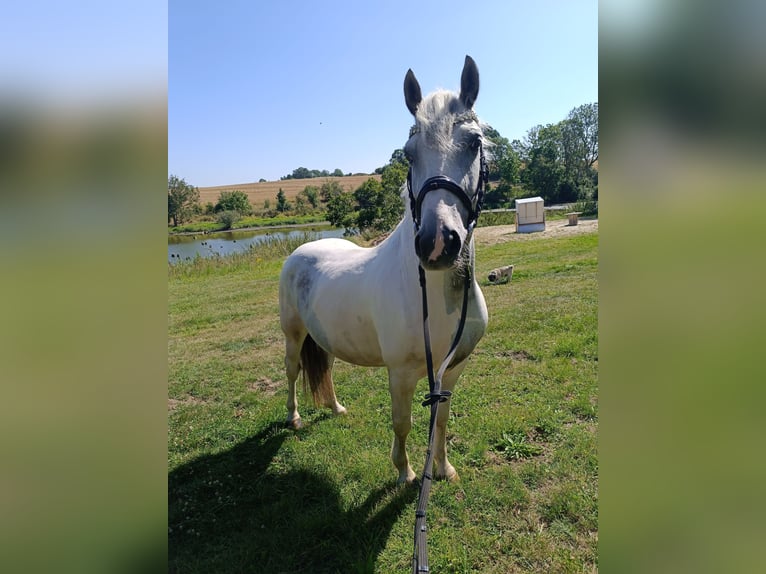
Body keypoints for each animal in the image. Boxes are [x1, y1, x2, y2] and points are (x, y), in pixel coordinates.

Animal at [279, 56, 489, 485]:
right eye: (408, 153)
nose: (438, 243)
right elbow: (402, 424)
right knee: (291, 371)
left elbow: (441, 421)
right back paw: (294, 417)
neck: (435, 295)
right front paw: (406, 473)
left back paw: (336, 408)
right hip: (293, 333)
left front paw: (443, 468)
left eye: (474, 142)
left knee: (326, 365)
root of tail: (301, 251)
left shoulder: (452, 370)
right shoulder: (402, 373)